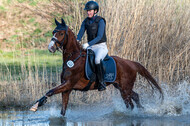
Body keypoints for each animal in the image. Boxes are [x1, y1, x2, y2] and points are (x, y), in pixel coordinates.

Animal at [29, 18, 163, 116]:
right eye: (53, 32)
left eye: (61, 33)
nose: (50, 48)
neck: (73, 59)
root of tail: (131, 63)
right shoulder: (66, 88)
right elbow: (62, 109)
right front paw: (38, 105)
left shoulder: (68, 84)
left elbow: (50, 91)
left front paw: (36, 106)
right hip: (121, 87)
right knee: (135, 97)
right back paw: (142, 109)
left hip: (125, 88)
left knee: (130, 103)